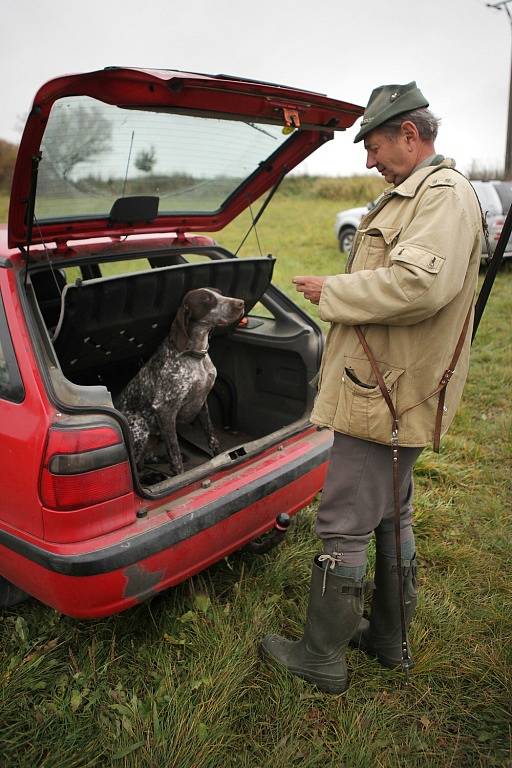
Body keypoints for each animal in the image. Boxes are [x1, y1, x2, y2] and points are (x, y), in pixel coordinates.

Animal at [117, 288, 245, 474]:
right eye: (207, 299)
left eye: (220, 293)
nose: (241, 303)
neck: (195, 356)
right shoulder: (165, 410)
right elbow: (175, 455)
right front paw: (180, 474)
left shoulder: (202, 402)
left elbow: (212, 438)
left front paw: (219, 456)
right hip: (140, 426)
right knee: (137, 466)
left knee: (144, 461)